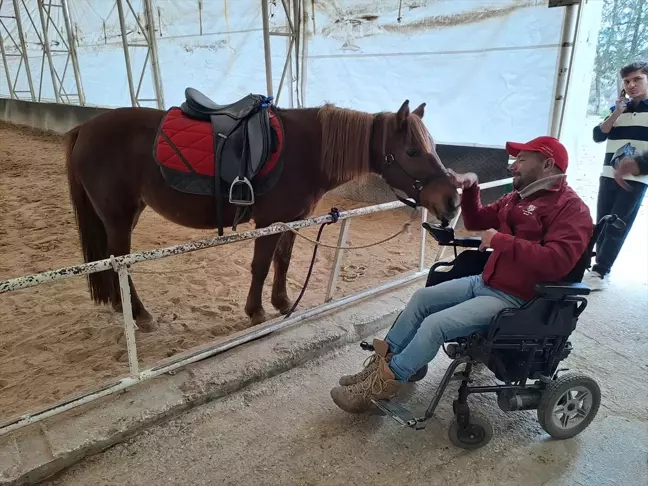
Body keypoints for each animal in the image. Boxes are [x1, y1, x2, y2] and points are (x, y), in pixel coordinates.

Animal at [64, 98, 460, 334]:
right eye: (412, 151)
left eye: (433, 147)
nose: (452, 201)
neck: (306, 150)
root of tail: (84, 128)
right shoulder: (268, 223)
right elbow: (261, 264)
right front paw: (255, 311)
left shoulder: (293, 220)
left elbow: (282, 260)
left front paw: (282, 302)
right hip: (118, 217)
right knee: (120, 262)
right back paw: (140, 315)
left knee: (111, 263)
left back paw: (122, 307)